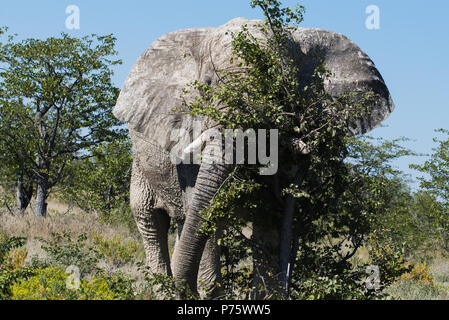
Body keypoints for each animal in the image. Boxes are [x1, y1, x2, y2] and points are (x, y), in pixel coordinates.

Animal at [114, 16, 394, 298]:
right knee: (150, 220)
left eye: (275, 87)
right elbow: (206, 210)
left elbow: (268, 217)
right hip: (139, 165)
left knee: (184, 220)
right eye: (206, 86)